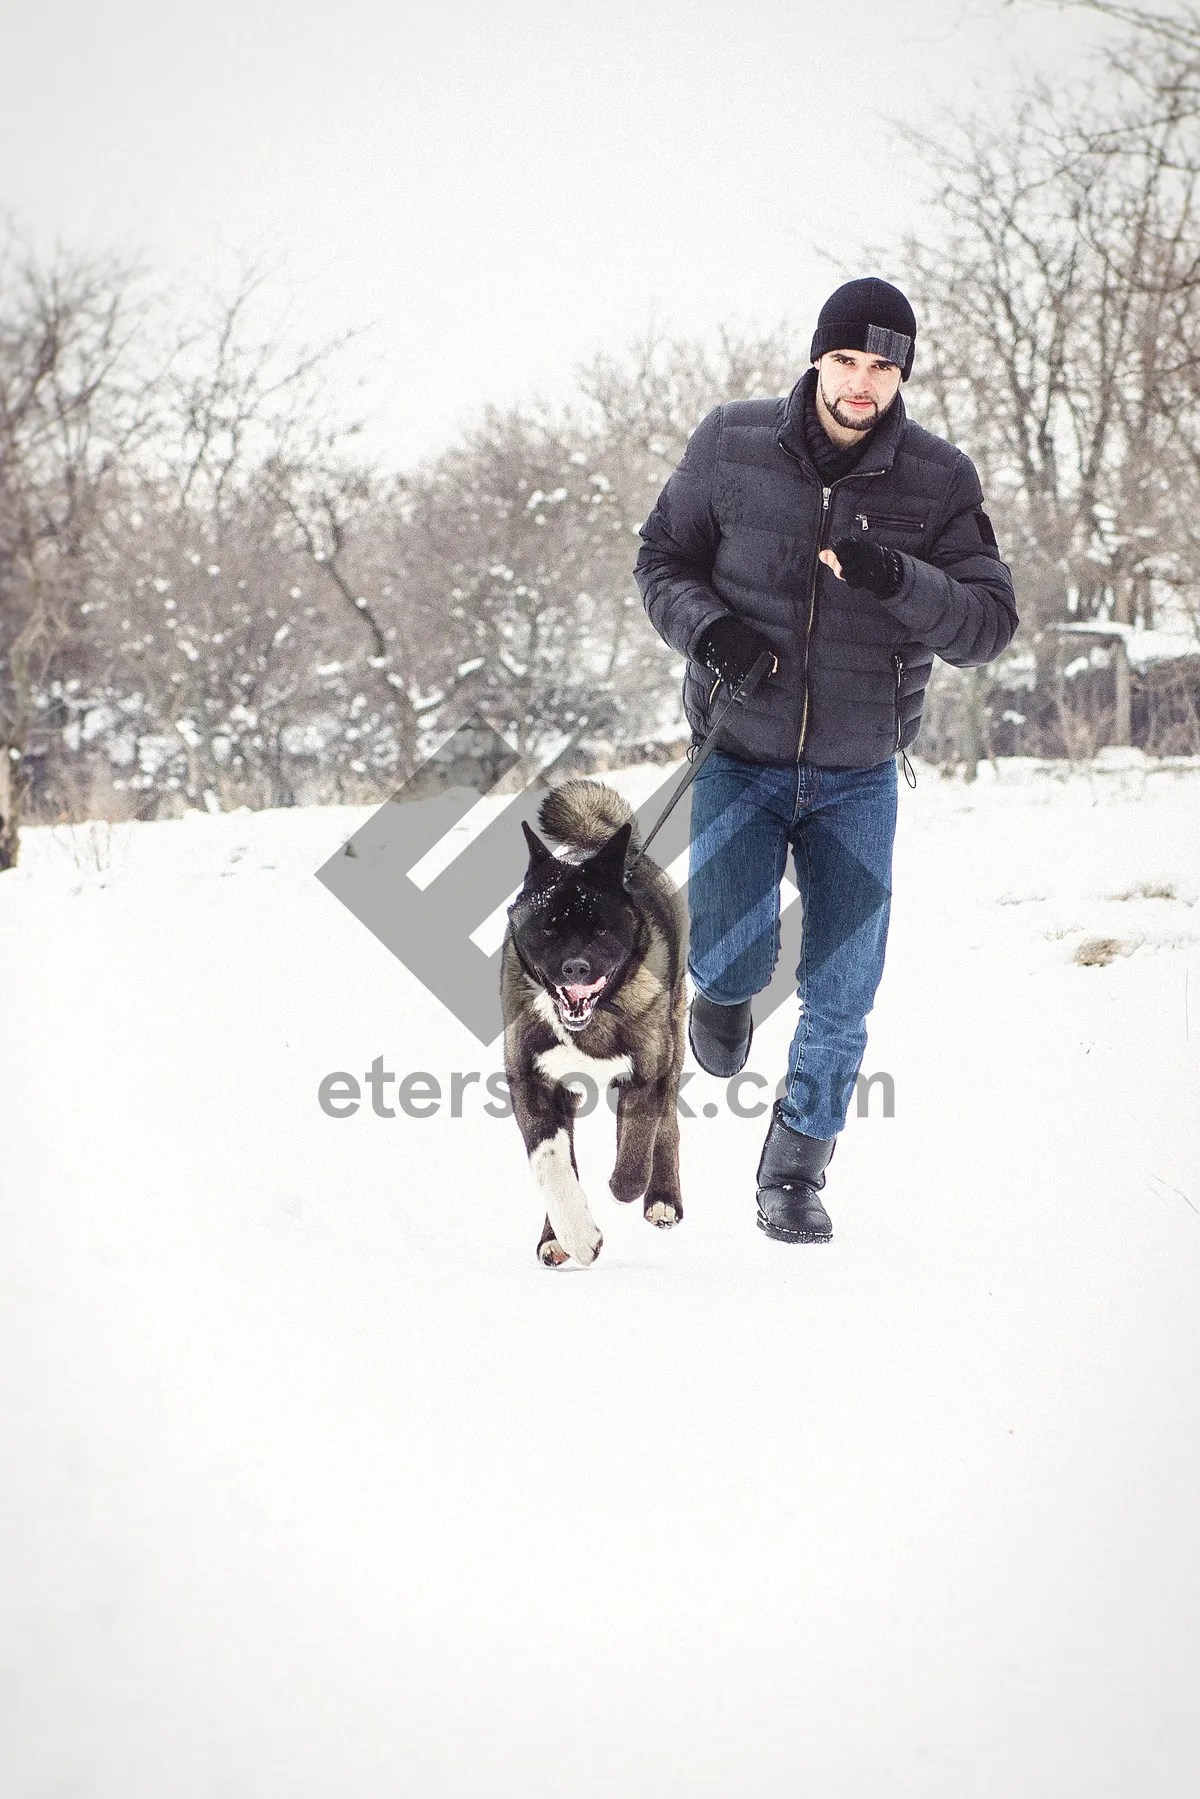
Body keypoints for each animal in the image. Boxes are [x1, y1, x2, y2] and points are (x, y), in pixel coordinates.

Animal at [500, 780, 683, 1273]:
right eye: (549, 928)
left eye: (601, 930)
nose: (575, 969)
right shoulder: (531, 1079)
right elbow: (551, 1163)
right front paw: (576, 1236)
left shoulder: (649, 1069)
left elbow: (638, 1140)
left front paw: (626, 1185)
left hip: (675, 1039)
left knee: (667, 1122)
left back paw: (662, 1198)